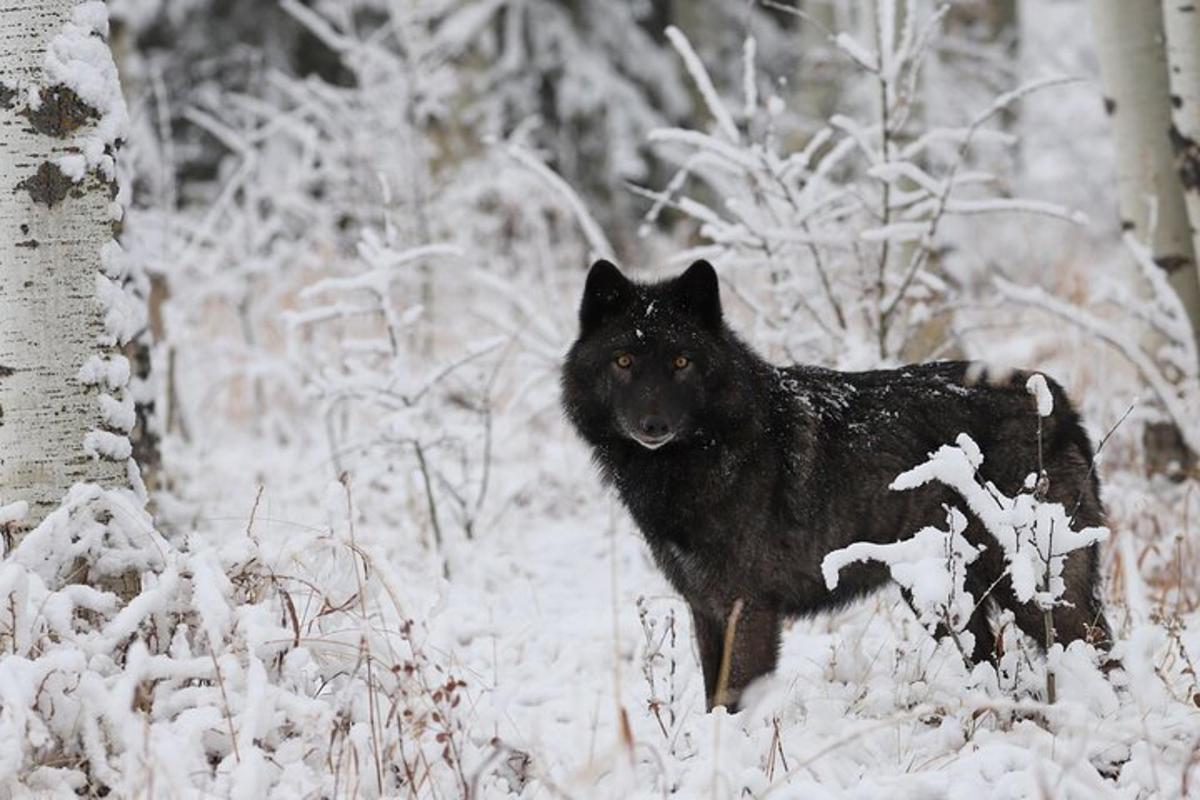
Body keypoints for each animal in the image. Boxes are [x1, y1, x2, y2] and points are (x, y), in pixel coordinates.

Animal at [559, 260, 1104, 710]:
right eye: (624, 361)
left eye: (680, 362)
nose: (653, 425)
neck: (704, 454)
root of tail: (1054, 398)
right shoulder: (704, 607)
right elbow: (714, 695)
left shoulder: (747, 607)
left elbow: (735, 698)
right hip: (943, 600)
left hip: (1026, 592)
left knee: (1096, 650)